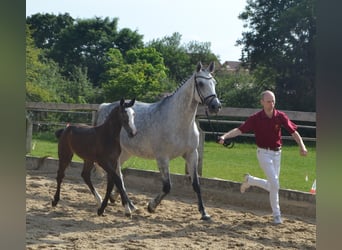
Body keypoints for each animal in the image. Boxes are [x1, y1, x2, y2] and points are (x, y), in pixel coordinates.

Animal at [95, 61, 222, 220]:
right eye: (200, 83)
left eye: (214, 82)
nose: (215, 106)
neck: (178, 122)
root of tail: (105, 106)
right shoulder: (162, 158)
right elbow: (167, 187)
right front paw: (151, 206)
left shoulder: (192, 154)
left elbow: (196, 184)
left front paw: (204, 213)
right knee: (117, 175)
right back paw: (126, 205)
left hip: (125, 153)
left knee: (118, 175)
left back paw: (125, 203)